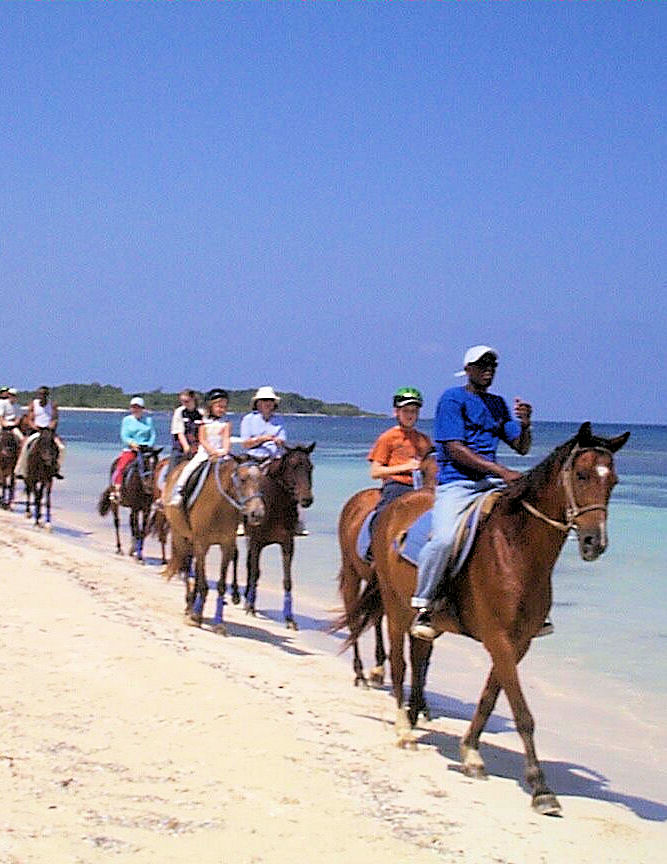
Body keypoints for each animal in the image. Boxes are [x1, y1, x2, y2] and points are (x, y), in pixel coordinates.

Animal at [163, 452, 264, 636]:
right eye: (243, 479)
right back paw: (190, 608)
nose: (257, 513)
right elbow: (203, 584)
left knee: (195, 571)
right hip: (181, 537)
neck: (219, 504)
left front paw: (218, 623)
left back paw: (194, 607)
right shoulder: (201, 543)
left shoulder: (226, 545)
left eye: (261, 480)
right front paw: (196, 618)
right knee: (187, 568)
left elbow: (221, 585)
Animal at [245, 442, 316, 632]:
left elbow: (287, 580)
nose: (307, 499)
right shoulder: (256, 542)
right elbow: (255, 572)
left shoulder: (287, 544)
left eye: (310, 467)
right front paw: (250, 607)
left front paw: (290, 619)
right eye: (293, 466)